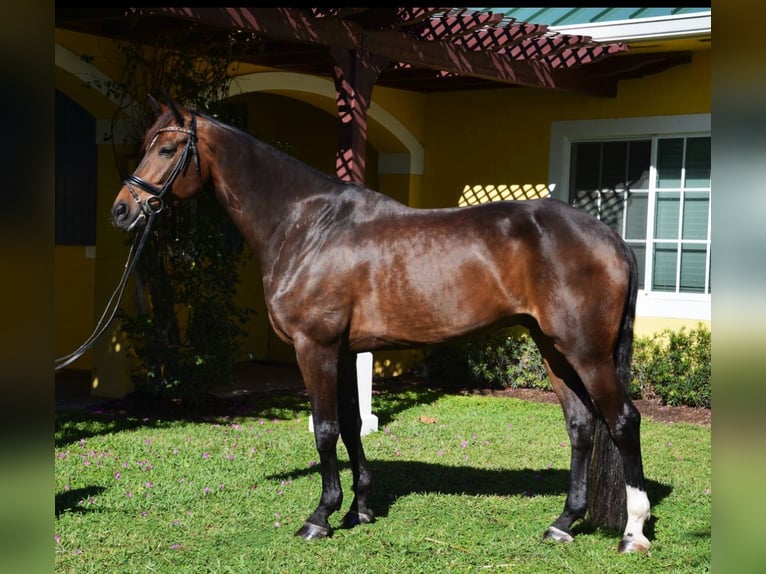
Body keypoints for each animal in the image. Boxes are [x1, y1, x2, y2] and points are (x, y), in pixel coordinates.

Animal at [112, 98, 656, 552]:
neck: (307, 225)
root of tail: (612, 237)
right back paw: (563, 523)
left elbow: (326, 429)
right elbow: (352, 426)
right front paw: (361, 509)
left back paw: (633, 532)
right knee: (581, 425)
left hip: (586, 353)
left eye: (166, 148)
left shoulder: (315, 347)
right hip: (553, 348)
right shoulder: (345, 350)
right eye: (146, 144)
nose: (122, 210)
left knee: (623, 422)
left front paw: (320, 516)